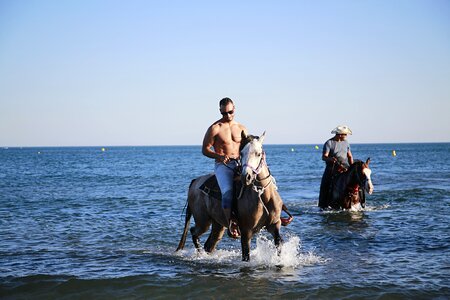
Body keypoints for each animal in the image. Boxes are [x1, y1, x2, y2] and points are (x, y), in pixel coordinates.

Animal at [176, 131, 288, 260]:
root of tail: (195, 182)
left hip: (218, 225)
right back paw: (200, 255)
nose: (246, 177)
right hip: (203, 221)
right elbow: (246, 256)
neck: (263, 196)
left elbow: (279, 246)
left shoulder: (275, 225)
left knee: (209, 244)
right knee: (194, 232)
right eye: (242, 153)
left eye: (258, 154)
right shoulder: (246, 231)